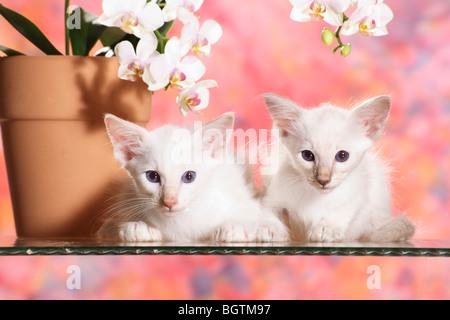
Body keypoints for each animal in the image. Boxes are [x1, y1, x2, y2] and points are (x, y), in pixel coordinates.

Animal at [98, 112, 288, 242]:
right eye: (152, 176)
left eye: (189, 176)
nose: (169, 202)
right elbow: (108, 229)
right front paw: (138, 226)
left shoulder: (245, 202)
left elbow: (256, 215)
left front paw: (234, 227)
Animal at [264, 94, 414, 242]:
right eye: (307, 155)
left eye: (342, 156)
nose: (323, 180)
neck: (316, 197)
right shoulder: (274, 194)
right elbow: (268, 210)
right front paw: (270, 229)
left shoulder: (359, 193)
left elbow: (342, 210)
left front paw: (327, 228)